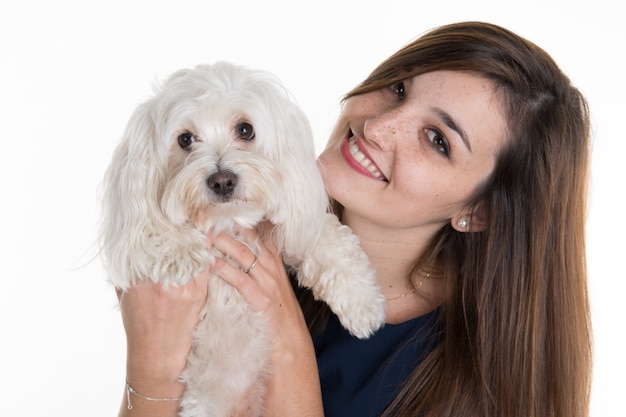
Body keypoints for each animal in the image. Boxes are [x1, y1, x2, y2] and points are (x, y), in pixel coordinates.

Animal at [99, 62, 382, 416]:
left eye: (246, 130)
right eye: (185, 139)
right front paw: (182, 254)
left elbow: (327, 237)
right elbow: (153, 231)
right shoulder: (132, 229)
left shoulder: (295, 222)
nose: (221, 181)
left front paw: (363, 302)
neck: (227, 223)